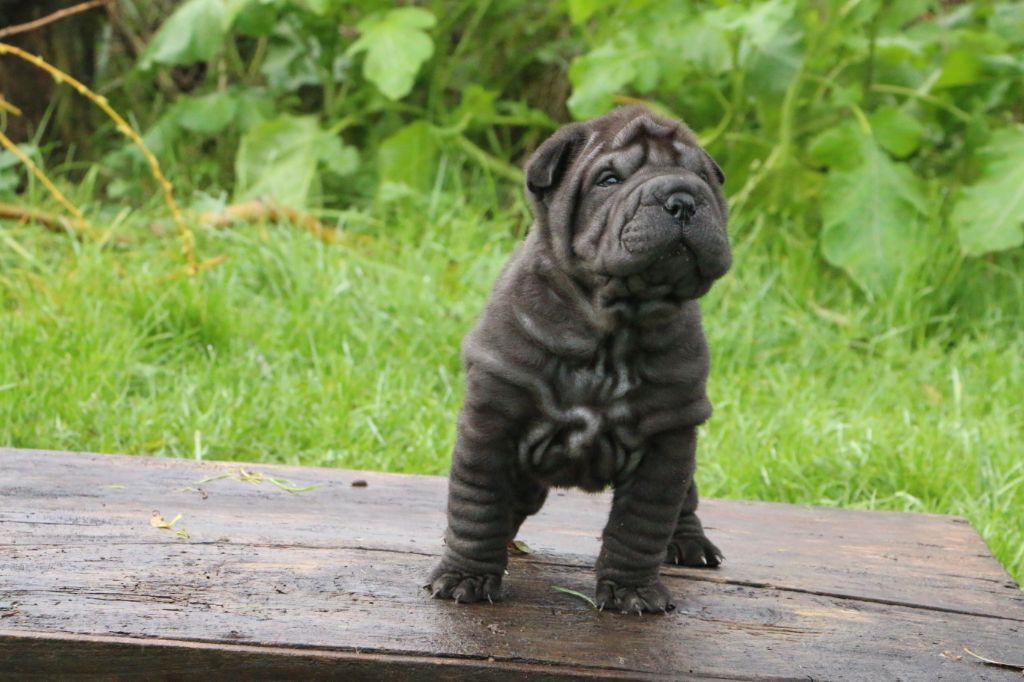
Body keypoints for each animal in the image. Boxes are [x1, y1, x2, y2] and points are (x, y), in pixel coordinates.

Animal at [428, 104, 733, 610]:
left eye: (702, 178)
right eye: (609, 180)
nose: (682, 198)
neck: (612, 329)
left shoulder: (668, 437)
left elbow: (643, 521)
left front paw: (632, 590)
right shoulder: (491, 421)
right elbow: (477, 504)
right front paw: (464, 576)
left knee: (685, 500)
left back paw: (690, 544)